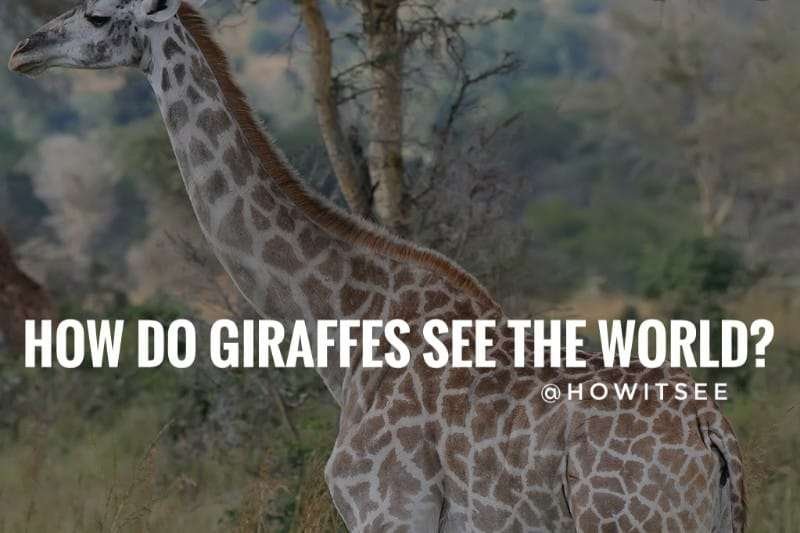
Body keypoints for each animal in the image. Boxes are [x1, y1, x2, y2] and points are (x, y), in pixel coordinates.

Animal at [9, 1, 746, 531]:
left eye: (97, 13)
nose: (23, 49)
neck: (344, 327)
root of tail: (715, 438)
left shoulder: (390, 511)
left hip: (629, 522)